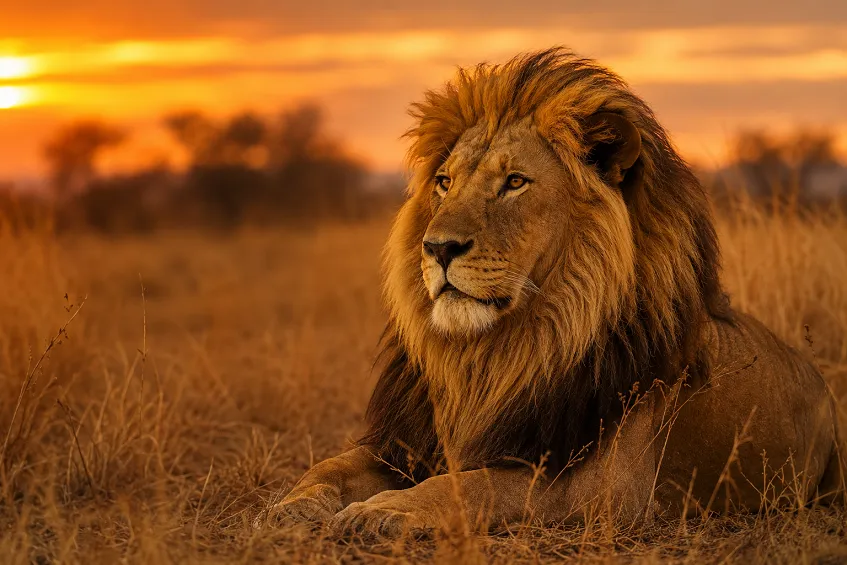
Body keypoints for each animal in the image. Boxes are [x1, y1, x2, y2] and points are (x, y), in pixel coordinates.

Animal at [262, 48, 844, 537]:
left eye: (515, 182)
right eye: (445, 182)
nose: (437, 247)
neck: (493, 357)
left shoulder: (598, 489)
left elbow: (472, 485)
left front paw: (382, 511)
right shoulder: (404, 441)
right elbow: (330, 466)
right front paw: (290, 507)